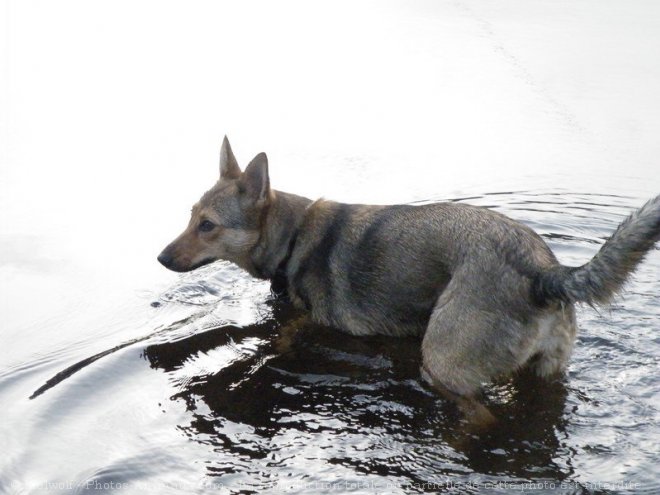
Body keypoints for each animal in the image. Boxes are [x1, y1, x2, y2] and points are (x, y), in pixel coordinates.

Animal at [159, 138, 660, 424]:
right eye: (189, 216)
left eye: (207, 225)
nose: (161, 257)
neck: (293, 235)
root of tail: (542, 270)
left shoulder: (312, 324)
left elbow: (285, 336)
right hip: (545, 373)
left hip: (441, 363)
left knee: (484, 419)